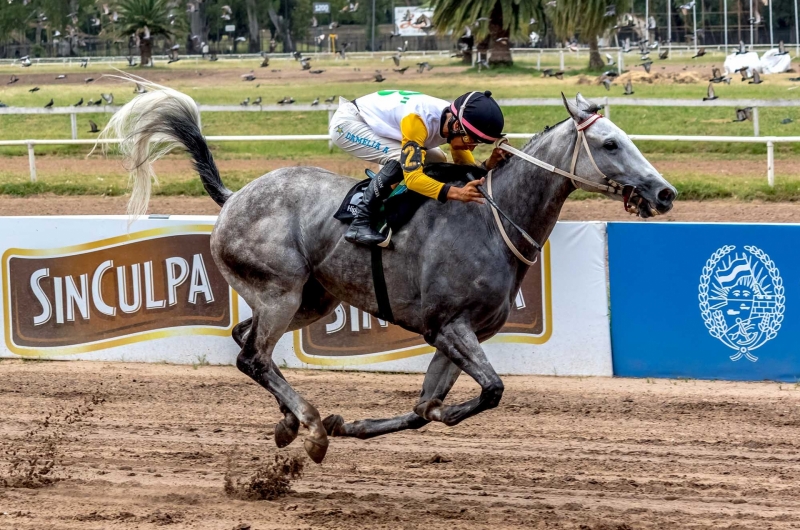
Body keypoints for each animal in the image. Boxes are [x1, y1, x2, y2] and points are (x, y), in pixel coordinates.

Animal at [101, 85, 676, 462]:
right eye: (610, 144)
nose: (665, 193)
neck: (493, 218)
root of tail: (234, 198)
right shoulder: (450, 326)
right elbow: (490, 390)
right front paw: (338, 425)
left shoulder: (454, 336)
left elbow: (426, 407)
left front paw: (355, 423)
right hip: (281, 291)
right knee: (254, 356)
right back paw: (310, 426)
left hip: (311, 298)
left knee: (246, 344)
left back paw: (291, 423)